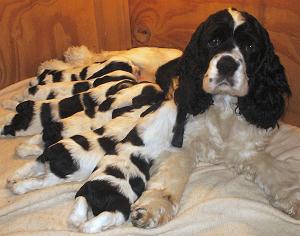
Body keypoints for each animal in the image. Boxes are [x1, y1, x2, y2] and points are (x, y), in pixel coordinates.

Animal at [2, 7, 300, 234]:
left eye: (249, 46)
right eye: (213, 42)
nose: (227, 65)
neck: (223, 106)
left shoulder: (246, 149)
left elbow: (276, 172)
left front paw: (293, 199)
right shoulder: (181, 142)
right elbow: (170, 179)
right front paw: (154, 207)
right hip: (121, 60)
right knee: (86, 61)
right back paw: (33, 84)